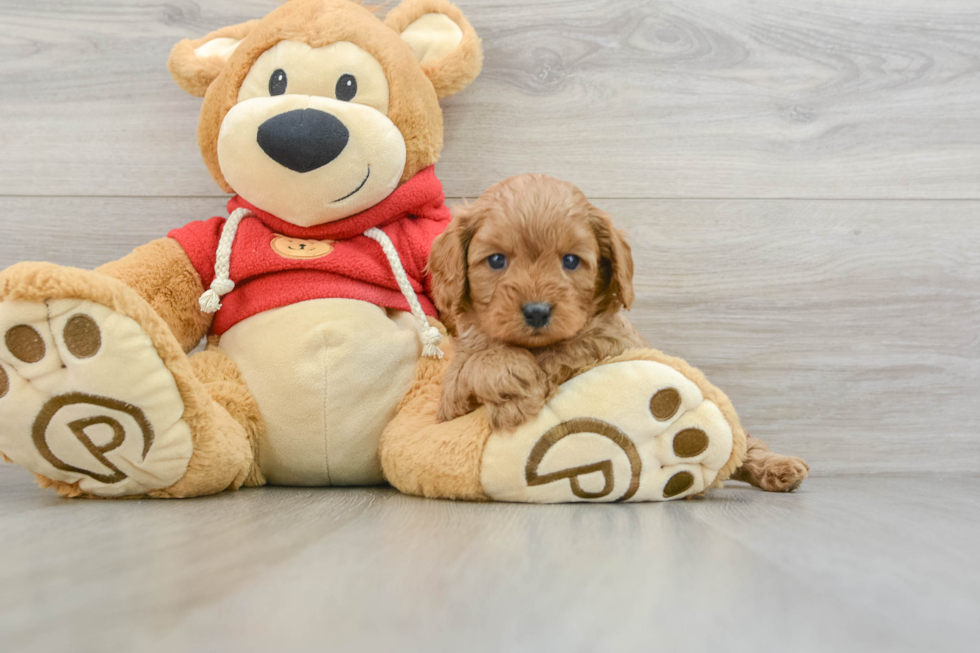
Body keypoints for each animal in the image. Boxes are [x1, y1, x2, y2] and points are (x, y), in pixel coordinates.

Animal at [432, 171, 808, 492]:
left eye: (571, 261)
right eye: (496, 260)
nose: (537, 311)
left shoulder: (615, 343)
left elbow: (576, 349)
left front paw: (528, 382)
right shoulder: (448, 409)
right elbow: (476, 363)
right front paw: (511, 383)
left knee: (743, 445)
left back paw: (777, 468)